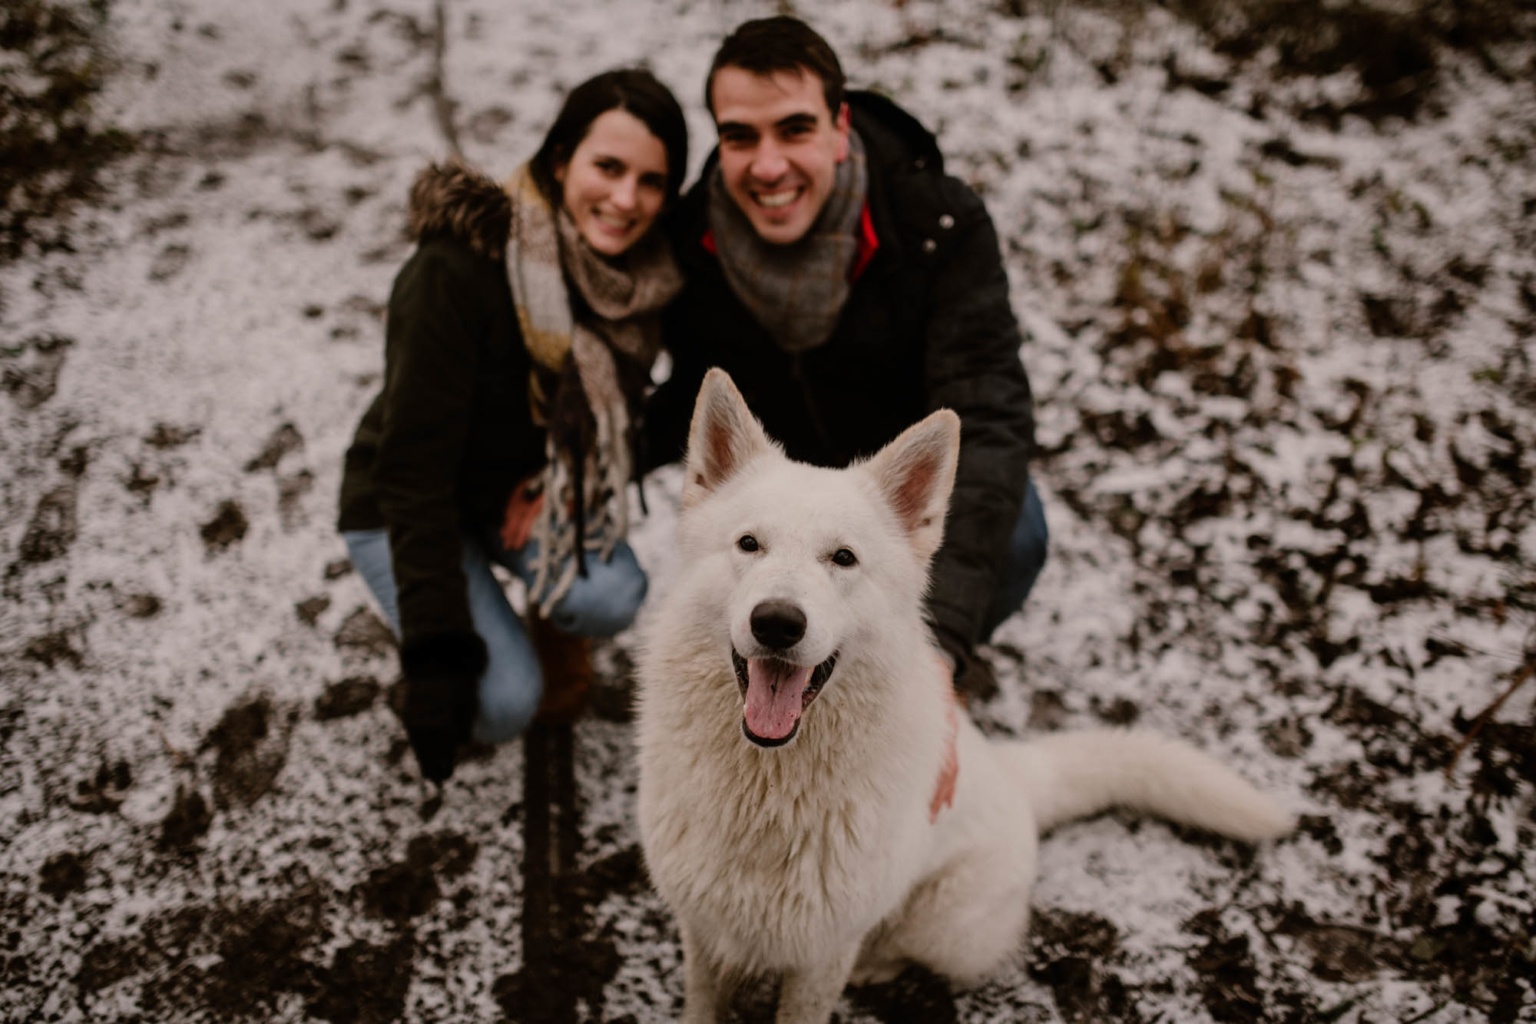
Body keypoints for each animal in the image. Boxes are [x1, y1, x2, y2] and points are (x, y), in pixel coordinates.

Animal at [635, 369, 1296, 1024]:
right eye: (749, 544)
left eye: (843, 558)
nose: (777, 623)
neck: (764, 791)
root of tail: (1016, 775)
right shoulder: (700, 928)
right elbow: (702, 1003)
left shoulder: (823, 954)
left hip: (943, 930)